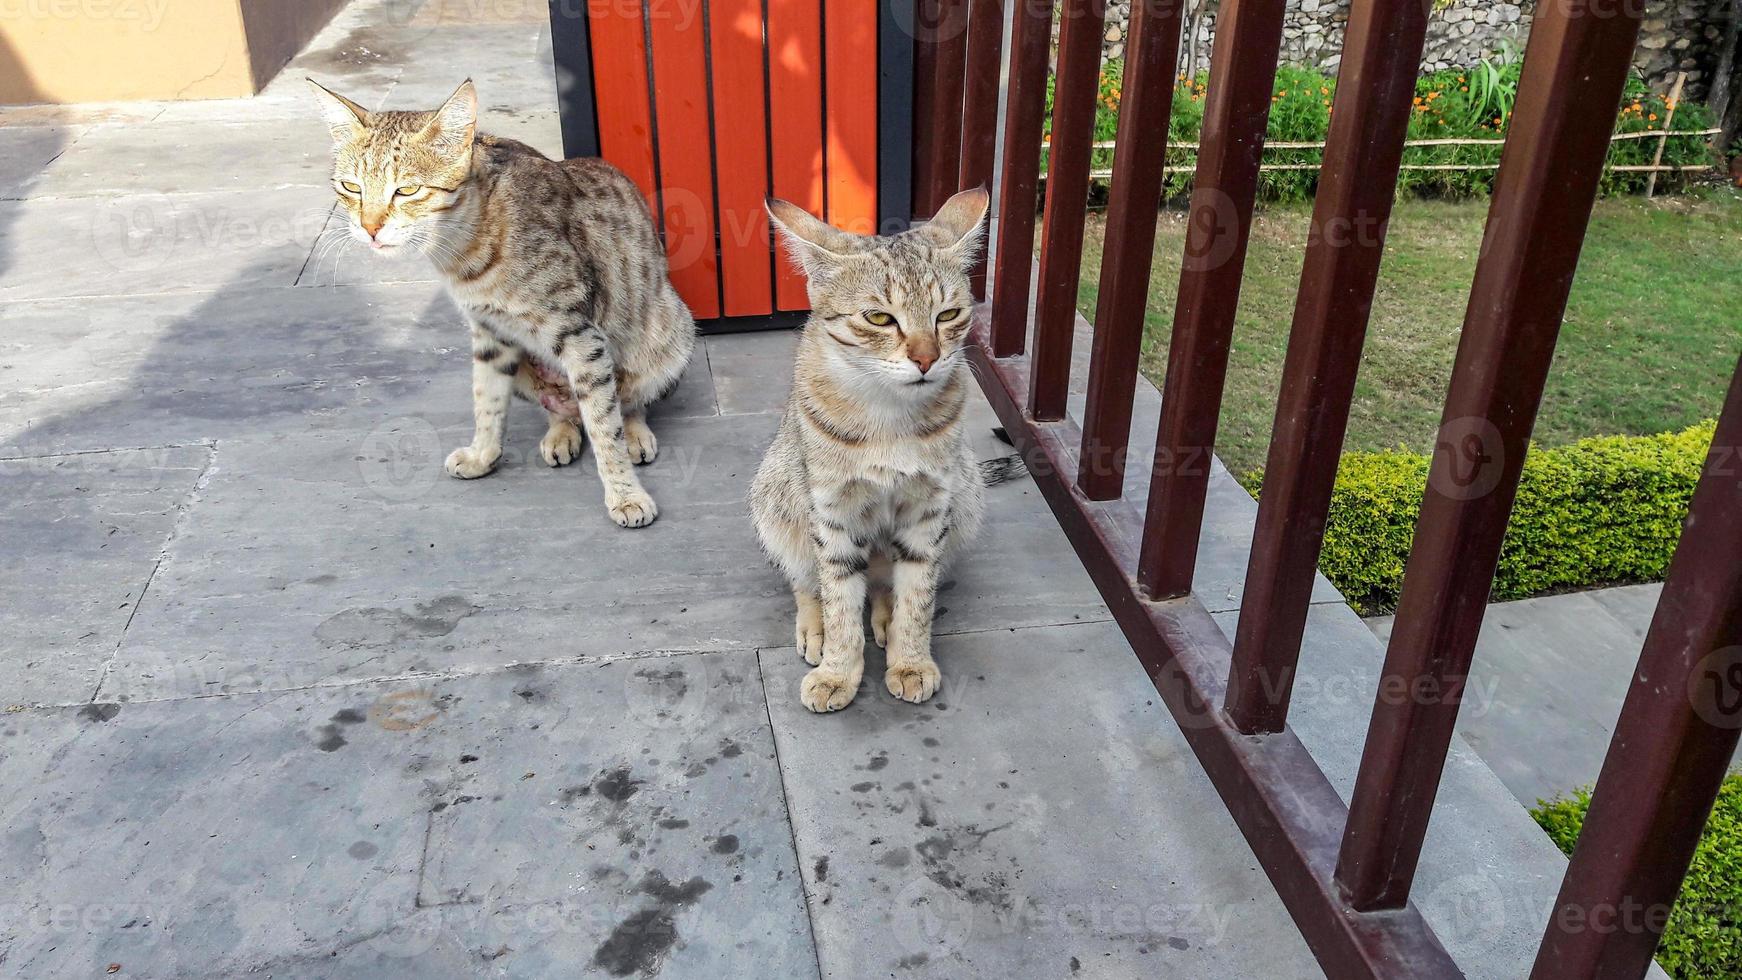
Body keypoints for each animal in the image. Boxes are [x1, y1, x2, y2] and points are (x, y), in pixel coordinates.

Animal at [306, 81, 693, 532]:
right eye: (351, 187)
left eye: (407, 190)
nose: (369, 229)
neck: (464, 250)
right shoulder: (489, 333)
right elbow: (486, 401)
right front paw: (482, 456)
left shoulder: (581, 337)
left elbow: (603, 425)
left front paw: (626, 495)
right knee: (562, 409)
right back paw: (561, 432)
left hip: (672, 330)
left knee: (629, 400)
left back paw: (634, 432)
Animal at [749, 187, 996, 717]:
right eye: (879, 317)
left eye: (948, 315)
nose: (926, 359)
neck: (888, 415)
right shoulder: (831, 512)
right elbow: (839, 597)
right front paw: (838, 671)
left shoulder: (931, 508)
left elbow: (918, 595)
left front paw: (911, 660)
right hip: (775, 499)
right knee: (805, 579)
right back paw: (815, 626)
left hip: (967, 496)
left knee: (885, 579)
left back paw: (884, 616)